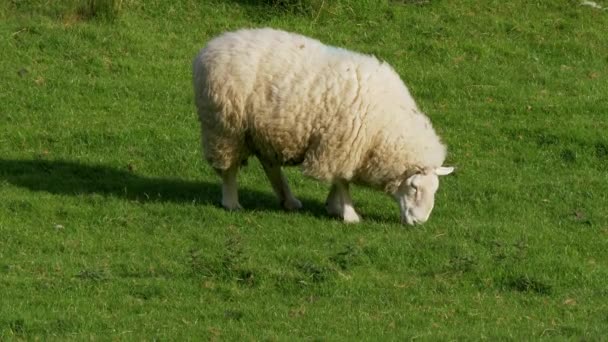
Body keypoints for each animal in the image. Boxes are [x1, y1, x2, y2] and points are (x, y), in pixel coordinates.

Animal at [192, 28, 454, 226]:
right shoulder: (340, 144)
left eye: (435, 190)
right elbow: (342, 181)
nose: (419, 222)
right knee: (229, 168)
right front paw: (348, 213)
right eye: (413, 187)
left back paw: (288, 200)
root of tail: (211, 46)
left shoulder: (344, 148)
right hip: (224, 127)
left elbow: (340, 179)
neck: (385, 126)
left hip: (260, 131)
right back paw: (232, 202)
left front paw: (333, 205)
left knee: (269, 164)